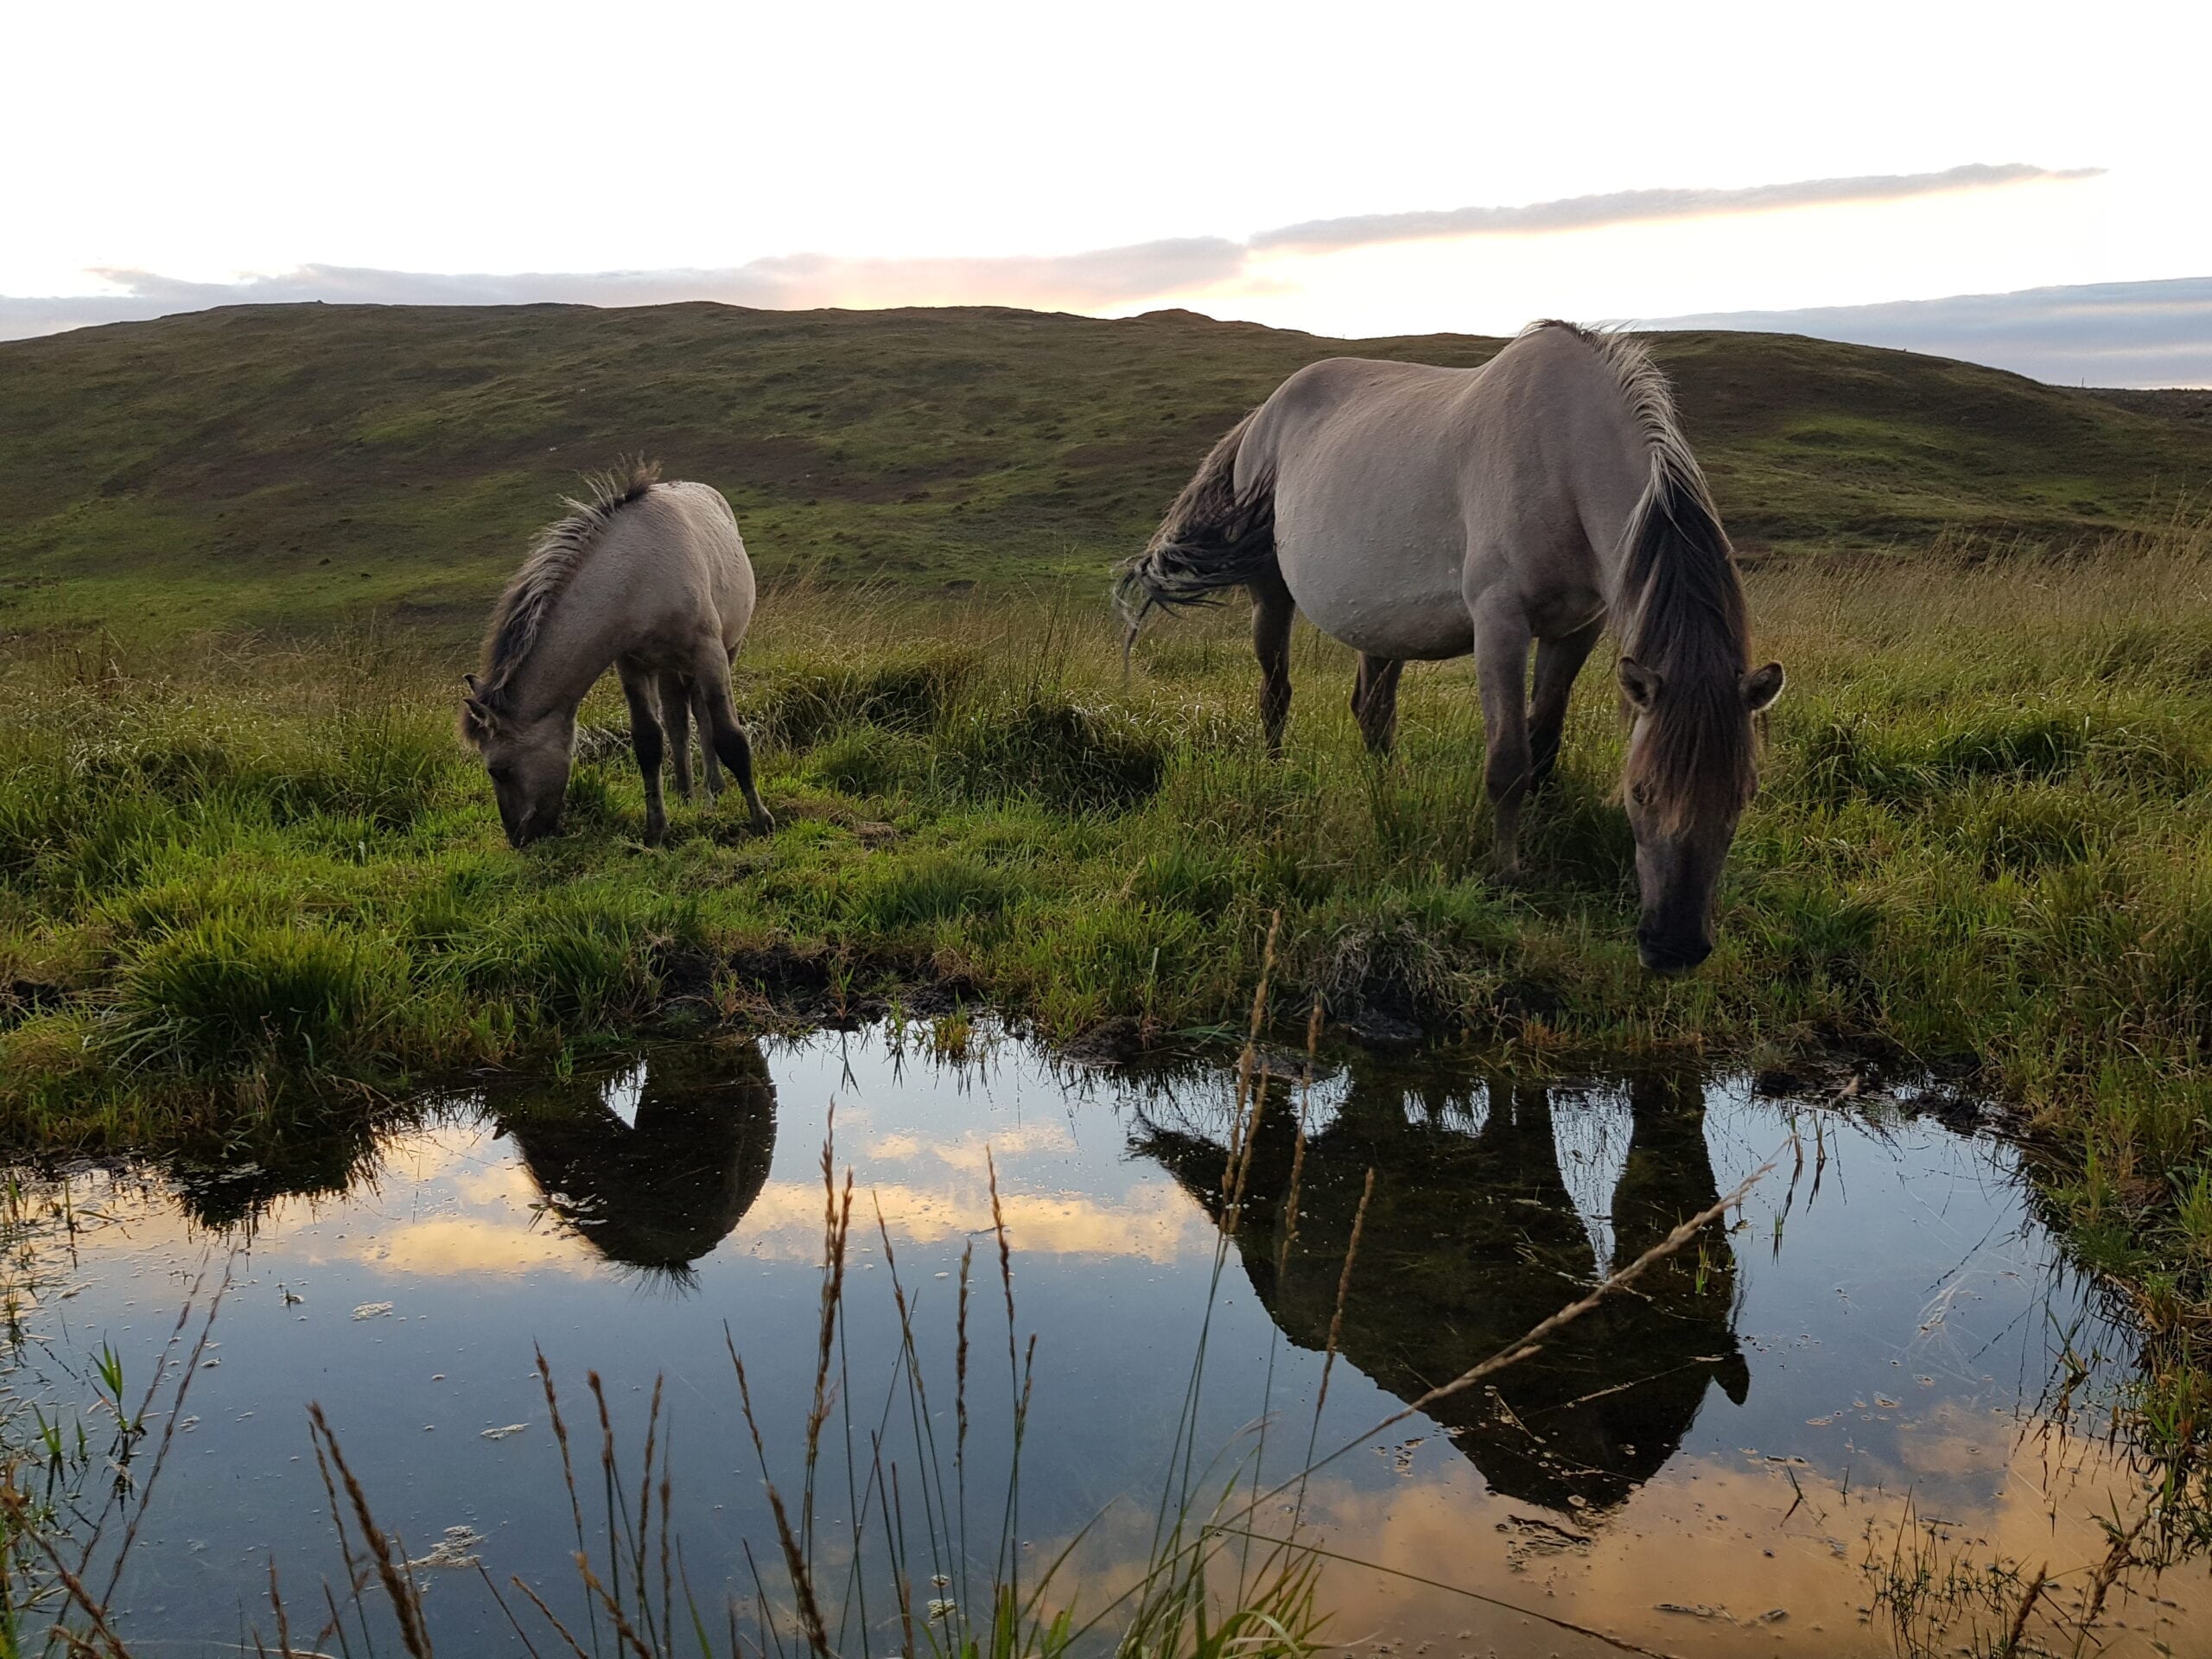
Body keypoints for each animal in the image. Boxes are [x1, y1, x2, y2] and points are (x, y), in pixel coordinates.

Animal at [457, 462, 779, 849]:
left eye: (498, 769)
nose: (519, 838)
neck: (639, 578)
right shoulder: (632, 666)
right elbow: (649, 743)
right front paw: (657, 830)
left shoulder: (709, 654)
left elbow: (731, 737)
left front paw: (761, 820)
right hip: (668, 669)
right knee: (680, 723)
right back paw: (687, 792)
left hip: (726, 651)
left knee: (703, 716)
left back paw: (713, 788)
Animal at [1123, 325, 1778, 973]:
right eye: (1640, 791)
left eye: (1744, 794)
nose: (1675, 948)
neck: (1563, 455)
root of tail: (1264, 413)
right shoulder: (1500, 623)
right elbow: (1509, 760)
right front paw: (1506, 871)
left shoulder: (1577, 630)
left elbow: (1544, 743)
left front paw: (1541, 831)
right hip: (1271, 592)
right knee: (1277, 692)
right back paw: (1277, 774)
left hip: (1382, 623)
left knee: (1373, 711)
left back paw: (1386, 791)